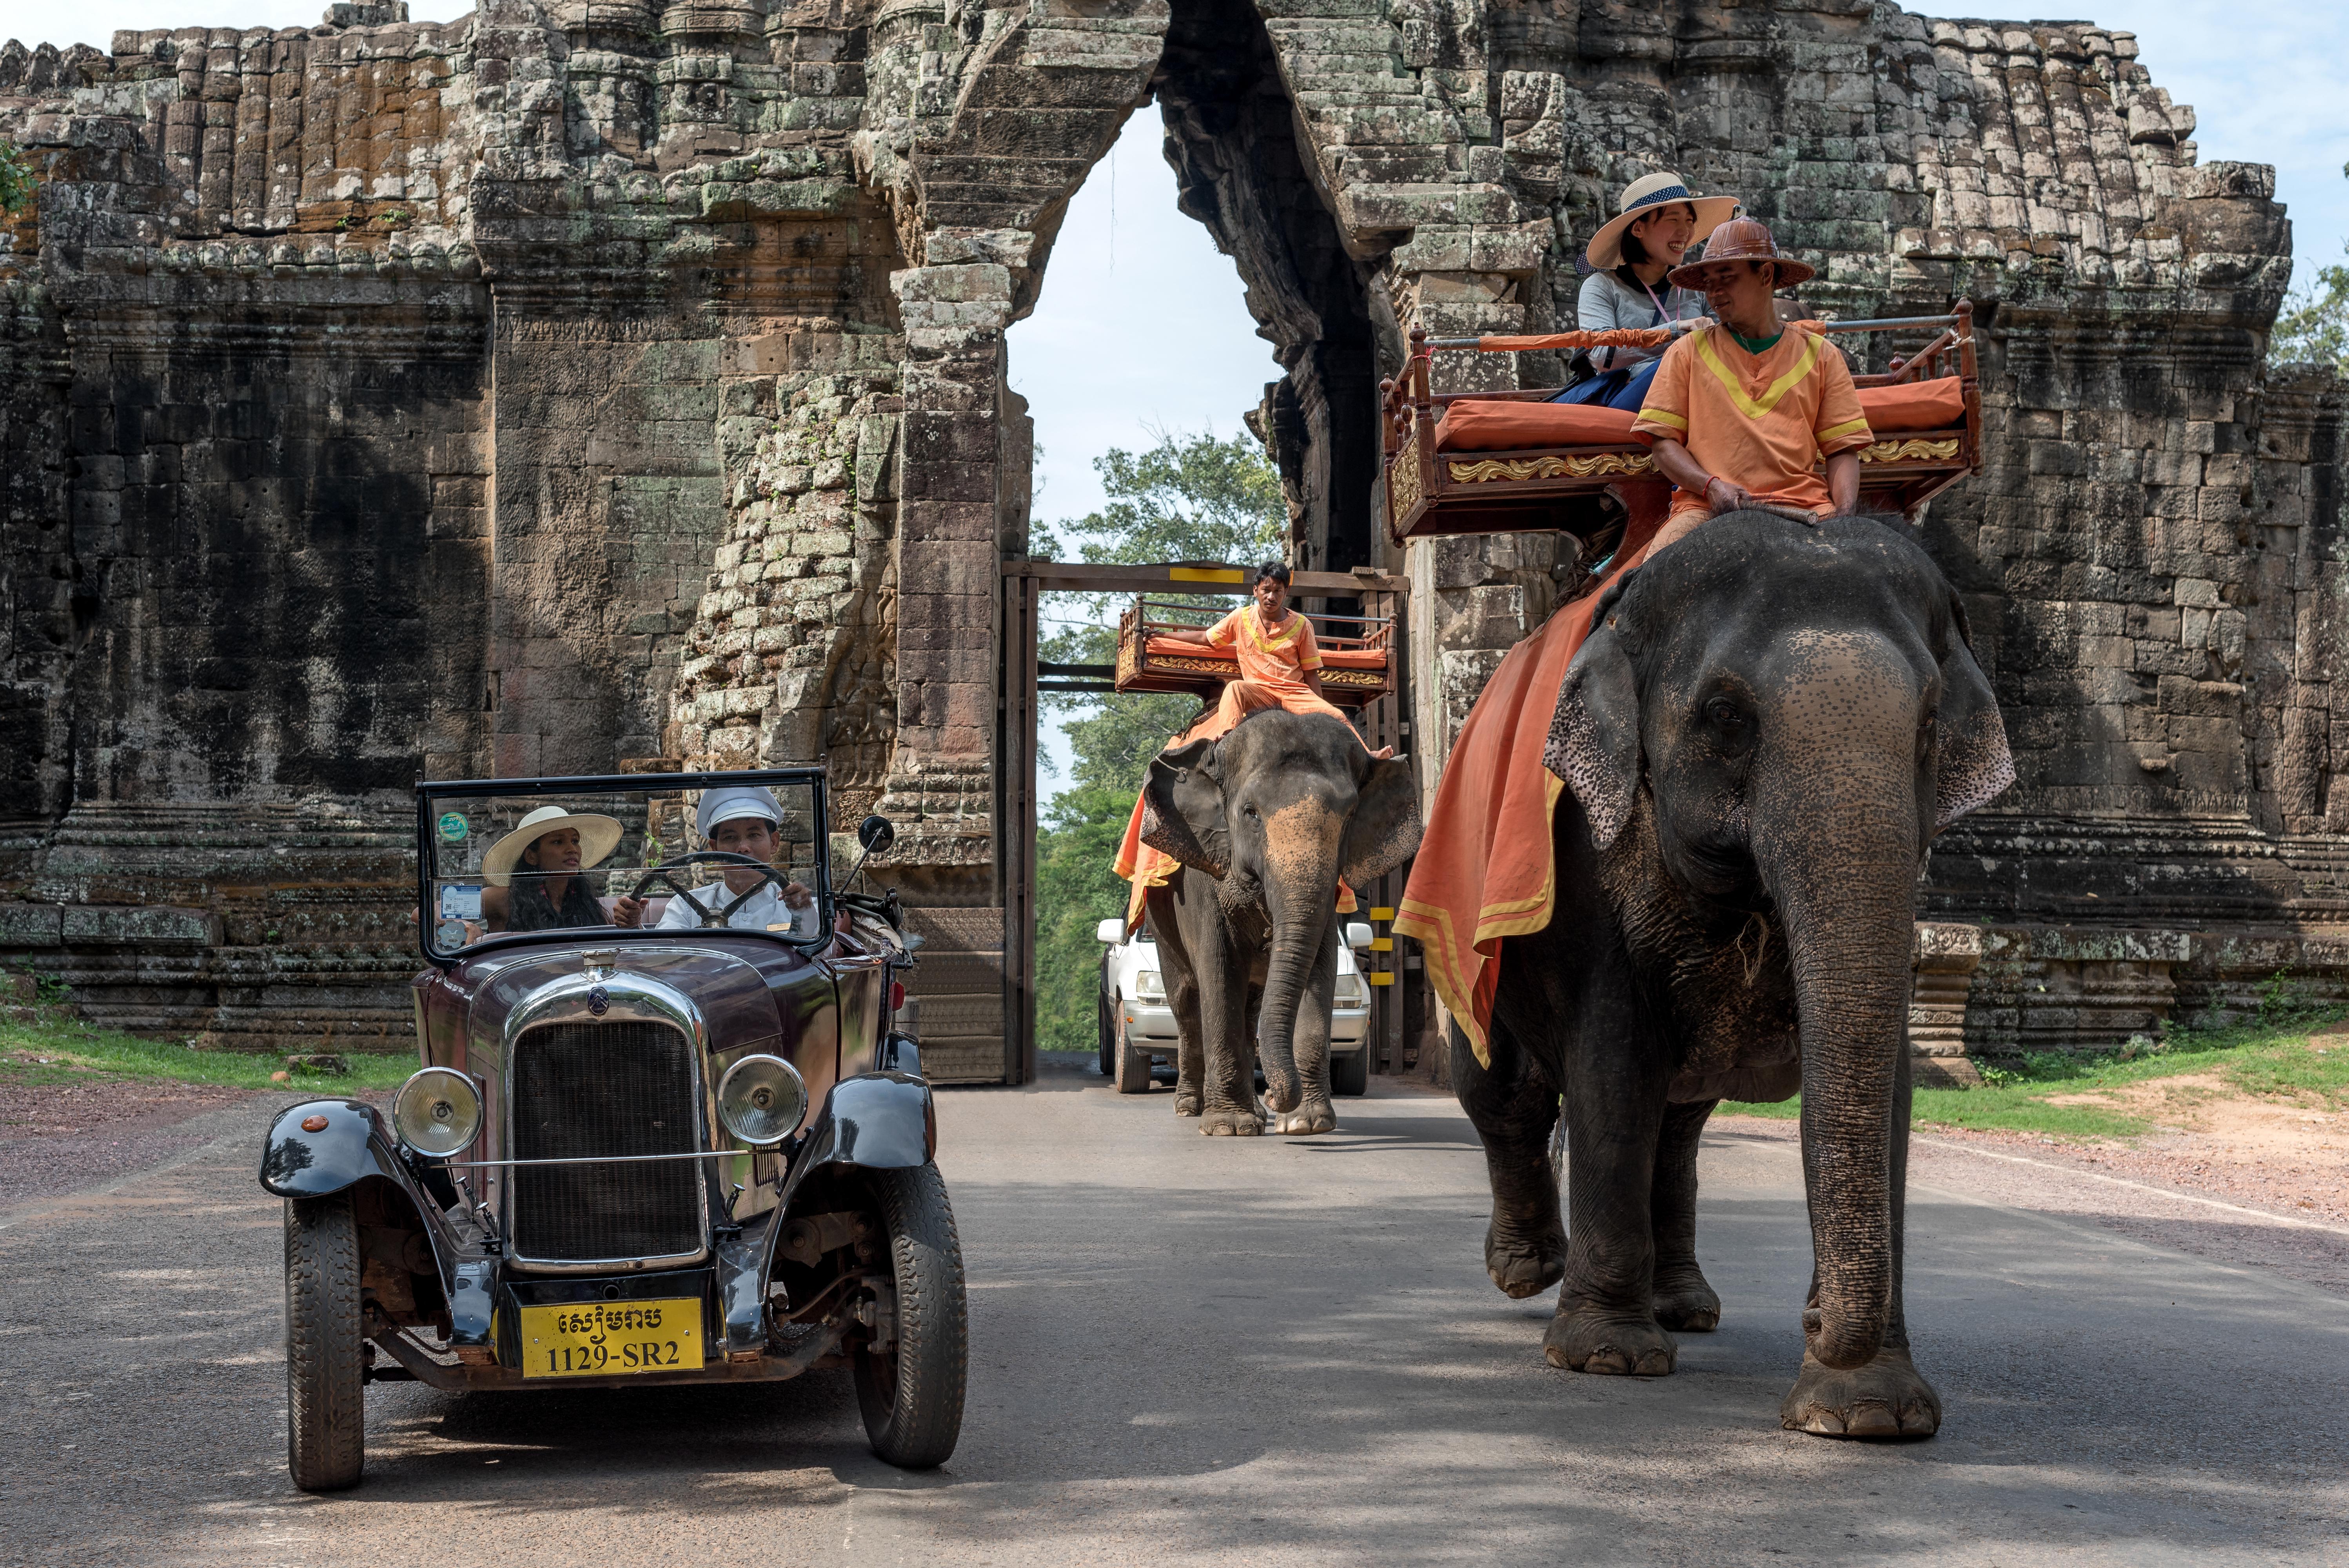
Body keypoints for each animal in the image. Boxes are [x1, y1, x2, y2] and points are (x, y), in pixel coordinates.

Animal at [1132, 709, 1409, 1141]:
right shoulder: (1205, 873)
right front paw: (1228, 1127)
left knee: (1249, 1007)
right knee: (1186, 1003)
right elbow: (1218, 968)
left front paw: (1305, 1123)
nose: (1276, 1095)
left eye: (1350, 816)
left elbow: (1321, 966)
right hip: (1161, 922)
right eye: (1251, 813)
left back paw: (1256, 1113)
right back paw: (1190, 1107)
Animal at [1456, 512, 2011, 1436]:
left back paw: (1684, 1306)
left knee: (1677, 1122)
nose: (1814, 1318)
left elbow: (1888, 1086)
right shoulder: (1588, 860)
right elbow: (1612, 1064)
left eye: (1930, 723)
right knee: (1507, 1090)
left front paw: (1870, 1414)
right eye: (1723, 714)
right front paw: (1607, 1359)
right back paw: (1527, 1272)